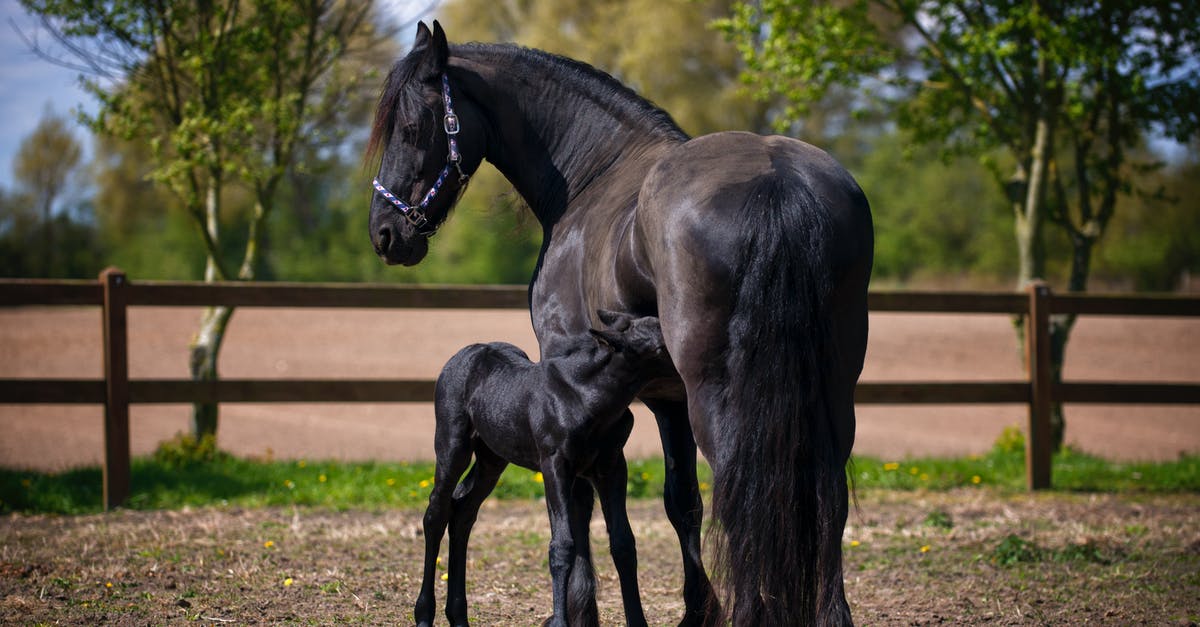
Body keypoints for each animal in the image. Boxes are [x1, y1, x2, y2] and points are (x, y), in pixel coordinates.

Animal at [417, 311, 668, 627]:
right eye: (659, 345)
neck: (587, 397)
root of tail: (462, 355)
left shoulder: (612, 466)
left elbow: (623, 542)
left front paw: (638, 621)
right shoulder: (554, 465)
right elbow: (561, 545)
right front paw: (560, 621)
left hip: (492, 459)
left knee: (462, 513)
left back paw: (459, 616)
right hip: (452, 446)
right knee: (436, 514)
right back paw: (424, 614)